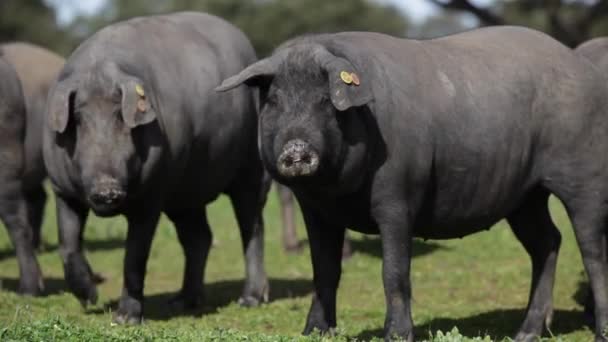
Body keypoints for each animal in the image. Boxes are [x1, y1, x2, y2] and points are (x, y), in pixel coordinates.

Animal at [44, 12, 270, 324]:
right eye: (78, 119)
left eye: (122, 118)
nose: (107, 190)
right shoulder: (62, 190)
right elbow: (67, 245)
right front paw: (90, 299)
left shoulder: (151, 194)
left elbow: (135, 255)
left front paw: (125, 319)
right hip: (184, 191)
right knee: (199, 237)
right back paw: (182, 302)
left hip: (250, 167)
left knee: (252, 226)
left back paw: (249, 300)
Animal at [220, 27, 608, 342]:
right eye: (274, 101)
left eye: (325, 102)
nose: (296, 150)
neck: (337, 193)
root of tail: (581, 67)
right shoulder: (315, 209)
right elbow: (325, 269)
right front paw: (313, 331)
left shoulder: (398, 196)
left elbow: (394, 272)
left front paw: (396, 335)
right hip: (525, 195)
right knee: (547, 242)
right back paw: (525, 333)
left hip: (584, 175)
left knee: (592, 250)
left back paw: (599, 331)